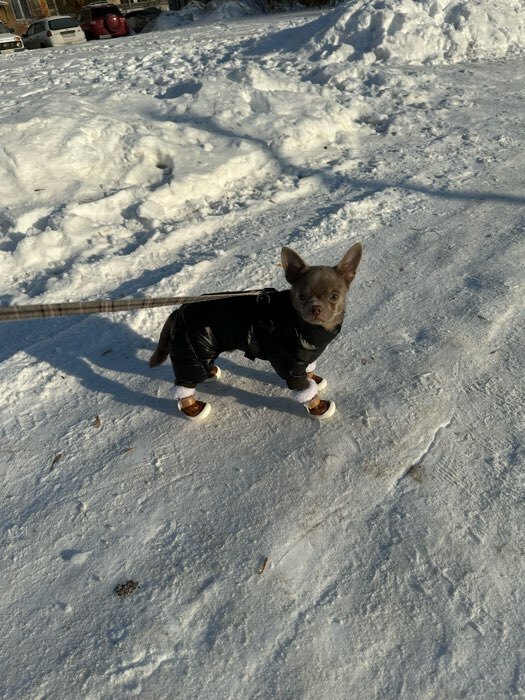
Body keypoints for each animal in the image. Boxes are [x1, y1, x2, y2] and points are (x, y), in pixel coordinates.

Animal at [148, 243, 360, 422]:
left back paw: (211, 372)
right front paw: (318, 407)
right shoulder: (289, 365)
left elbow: (309, 371)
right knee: (183, 387)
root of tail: (178, 311)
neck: (304, 326)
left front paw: (313, 379)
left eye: (334, 297)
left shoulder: (304, 357)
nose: (315, 308)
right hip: (191, 352)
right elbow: (305, 392)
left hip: (202, 350)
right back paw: (192, 408)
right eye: (300, 296)